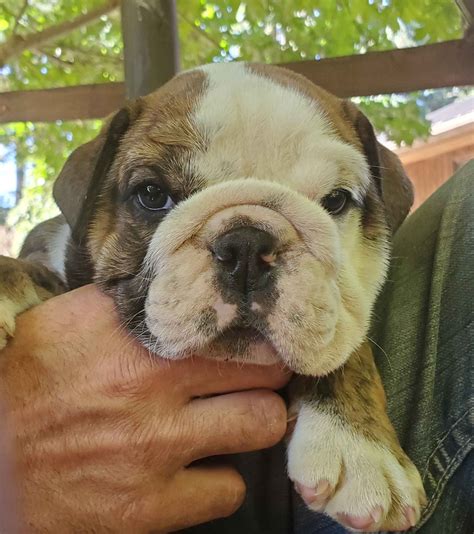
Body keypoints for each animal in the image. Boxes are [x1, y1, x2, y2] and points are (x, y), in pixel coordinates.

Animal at [1, 61, 426, 532]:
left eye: (335, 201)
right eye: (152, 194)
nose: (247, 246)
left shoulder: (339, 308)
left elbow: (346, 343)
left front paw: (362, 449)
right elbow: (28, 268)